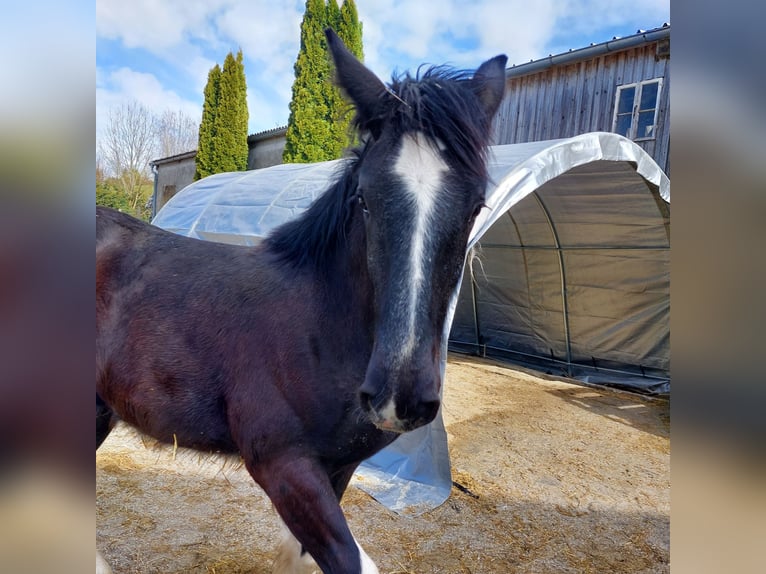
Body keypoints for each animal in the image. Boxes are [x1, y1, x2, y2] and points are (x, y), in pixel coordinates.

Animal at [96, 29, 508, 572]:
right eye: (364, 198)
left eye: (477, 205)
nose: (399, 396)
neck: (319, 328)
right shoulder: (284, 466)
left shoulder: (337, 466)